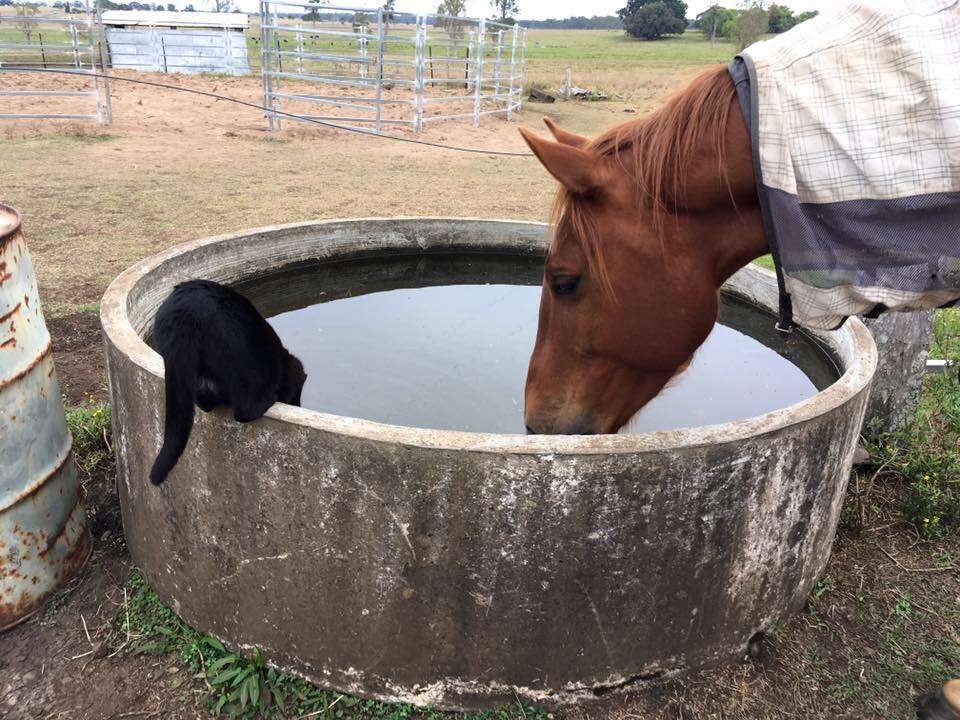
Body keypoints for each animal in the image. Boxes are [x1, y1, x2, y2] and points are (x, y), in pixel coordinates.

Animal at [148, 278, 306, 486]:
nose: (297, 405)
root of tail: (184, 316)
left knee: (204, 403)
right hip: (239, 355)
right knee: (245, 410)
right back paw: (267, 401)